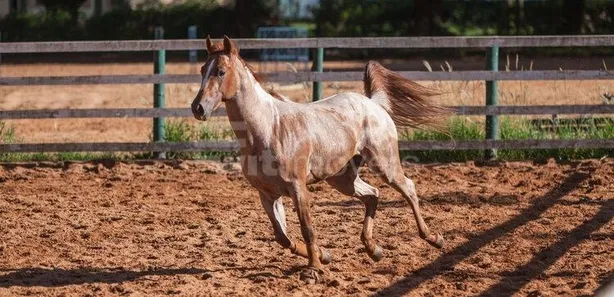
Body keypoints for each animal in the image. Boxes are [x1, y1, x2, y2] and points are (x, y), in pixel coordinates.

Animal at [192, 35, 452, 282]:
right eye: (202, 69)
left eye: (221, 71)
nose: (198, 108)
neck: (268, 128)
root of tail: (373, 103)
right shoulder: (267, 195)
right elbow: (281, 236)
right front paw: (325, 256)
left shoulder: (298, 188)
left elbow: (307, 229)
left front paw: (313, 269)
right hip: (342, 179)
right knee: (372, 195)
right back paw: (374, 250)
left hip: (384, 163)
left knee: (408, 188)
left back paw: (433, 238)